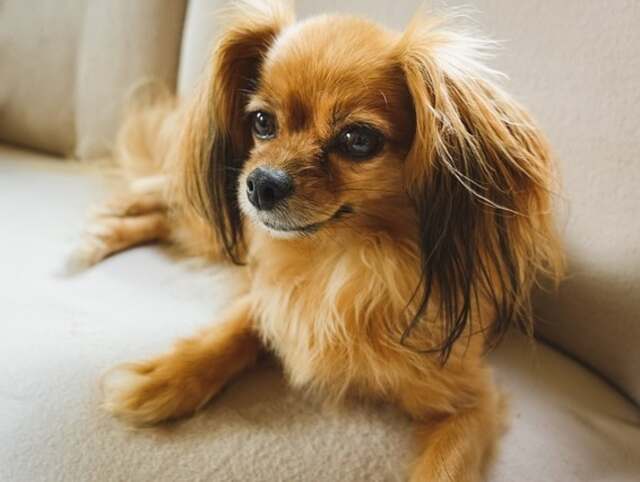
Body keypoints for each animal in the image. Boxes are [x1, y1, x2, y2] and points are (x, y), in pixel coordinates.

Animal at [72, 1, 564, 480]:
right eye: (262, 122)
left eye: (358, 139)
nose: (259, 184)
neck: (339, 258)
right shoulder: (269, 295)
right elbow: (232, 331)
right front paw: (166, 376)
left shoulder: (470, 401)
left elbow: (445, 467)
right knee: (165, 191)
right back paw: (109, 219)